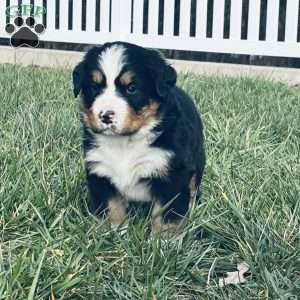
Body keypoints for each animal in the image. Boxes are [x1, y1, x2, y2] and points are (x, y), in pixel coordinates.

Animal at [72, 41, 205, 236]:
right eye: (94, 87)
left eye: (131, 88)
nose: (105, 116)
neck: (125, 143)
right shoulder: (100, 169)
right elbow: (111, 207)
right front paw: (112, 232)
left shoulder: (173, 174)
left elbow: (166, 215)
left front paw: (164, 240)